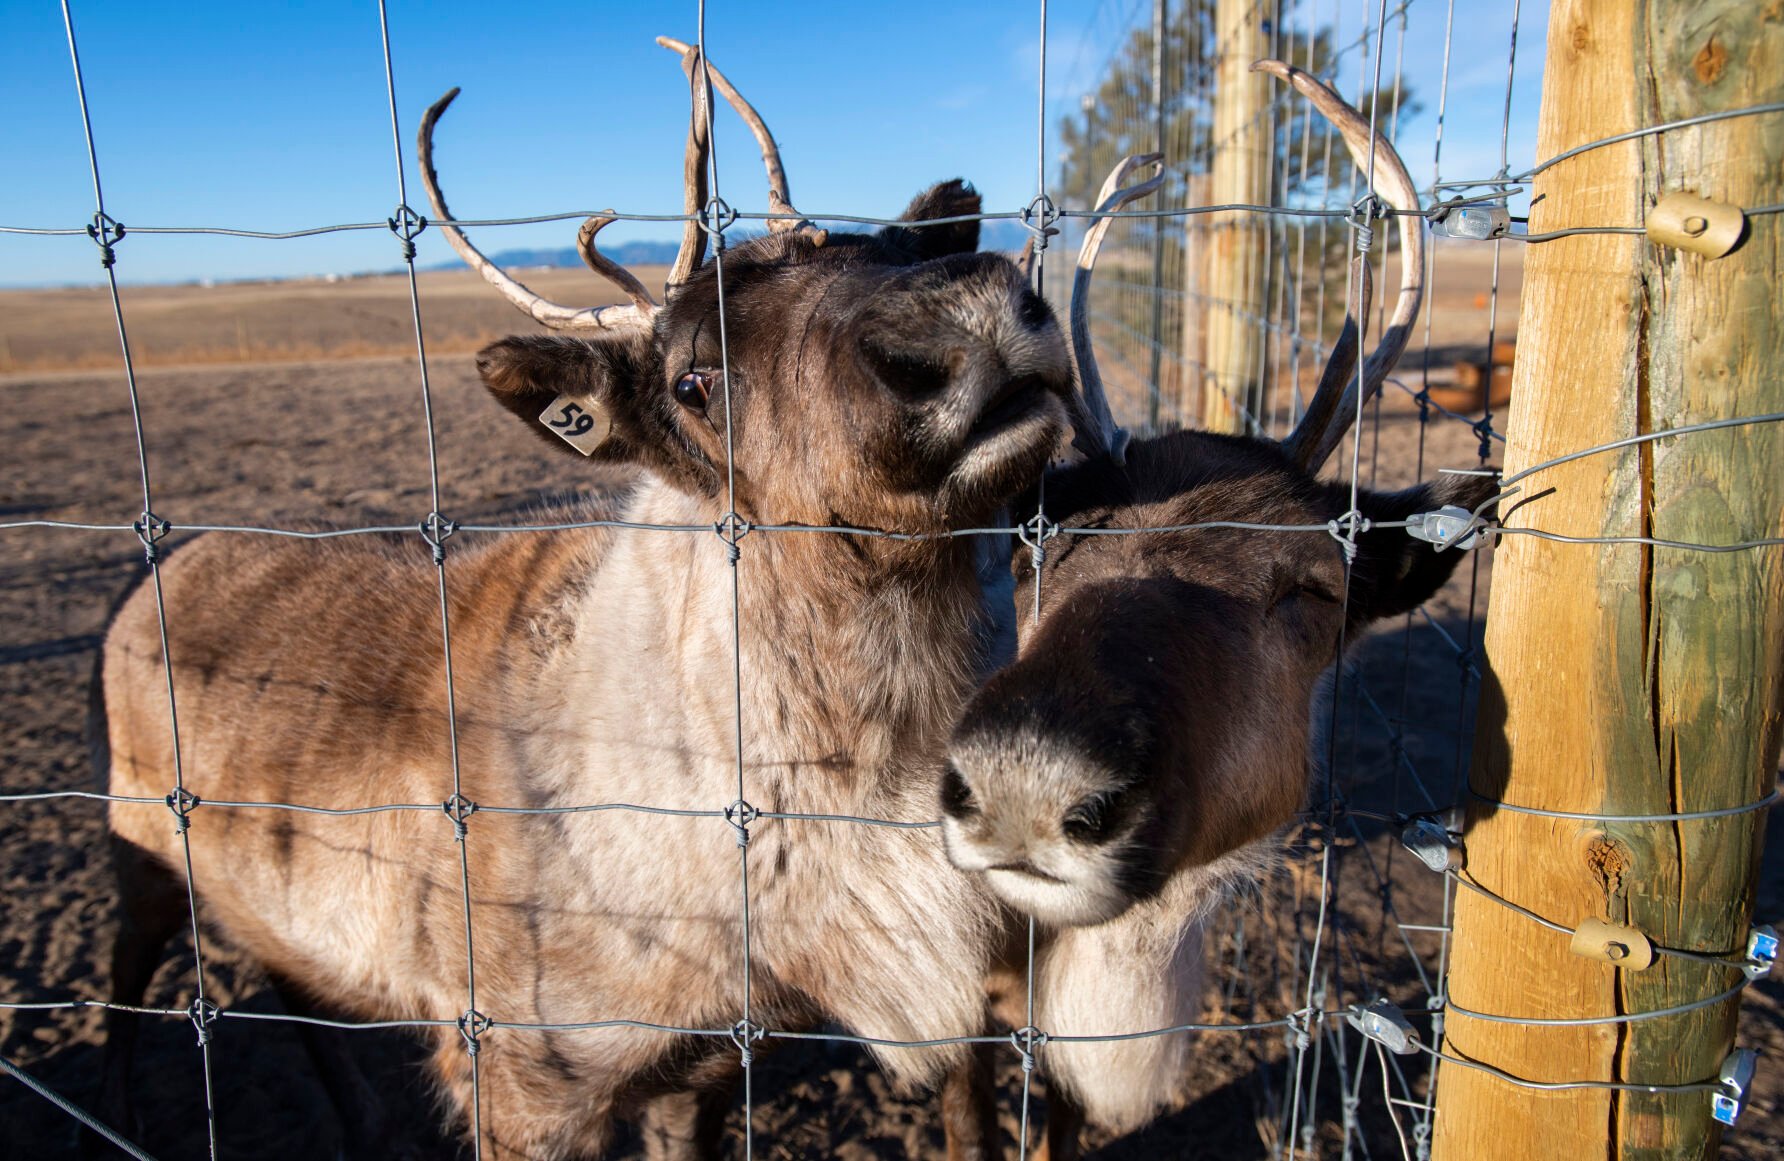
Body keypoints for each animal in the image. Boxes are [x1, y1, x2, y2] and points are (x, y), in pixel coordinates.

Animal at [94, 37, 1075, 1160]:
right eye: (691, 383)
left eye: (880, 249)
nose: (961, 318)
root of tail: (159, 570)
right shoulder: (523, 1085)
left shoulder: (702, 1063)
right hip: (140, 849)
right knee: (125, 981)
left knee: (293, 987)